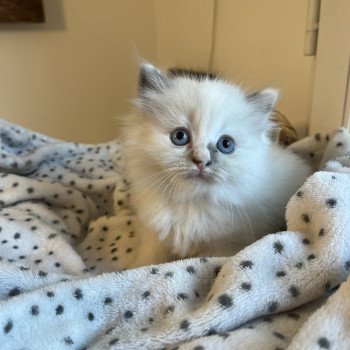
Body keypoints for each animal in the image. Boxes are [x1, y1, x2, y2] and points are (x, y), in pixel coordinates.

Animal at [123, 63, 312, 260]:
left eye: (226, 144)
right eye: (180, 136)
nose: (201, 161)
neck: (192, 204)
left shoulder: (224, 248)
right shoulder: (155, 240)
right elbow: (147, 260)